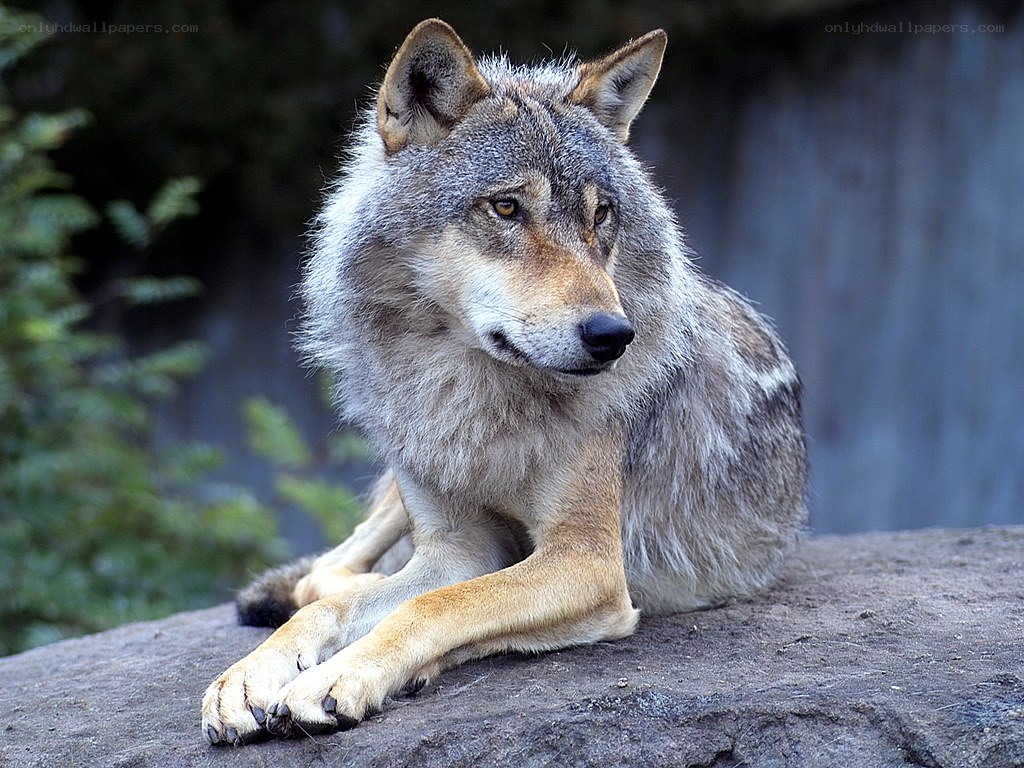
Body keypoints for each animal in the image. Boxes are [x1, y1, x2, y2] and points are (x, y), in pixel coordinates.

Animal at [201, 19, 807, 745]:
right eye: (507, 208)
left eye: (601, 215)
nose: (614, 335)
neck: (475, 395)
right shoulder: (456, 548)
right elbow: (352, 604)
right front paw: (251, 676)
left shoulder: (588, 564)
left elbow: (435, 607)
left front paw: (336, 678)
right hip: (400, 485)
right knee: (325, 575)